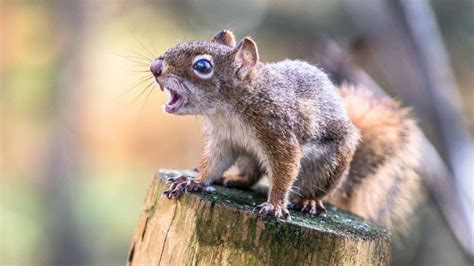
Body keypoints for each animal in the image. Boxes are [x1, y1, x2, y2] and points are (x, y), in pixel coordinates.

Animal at [150, 30, 420, 232]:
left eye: (203, 66)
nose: (155, 67)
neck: (227, 111)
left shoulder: (279, 133)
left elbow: (284, 171)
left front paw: (275, 205)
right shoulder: (223, 141)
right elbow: (213, 163)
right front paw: (192, 182)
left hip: (328, 167)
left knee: (316, 188)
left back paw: (310, 201)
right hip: (249, 156)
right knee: (251, 175)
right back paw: (233, 178)